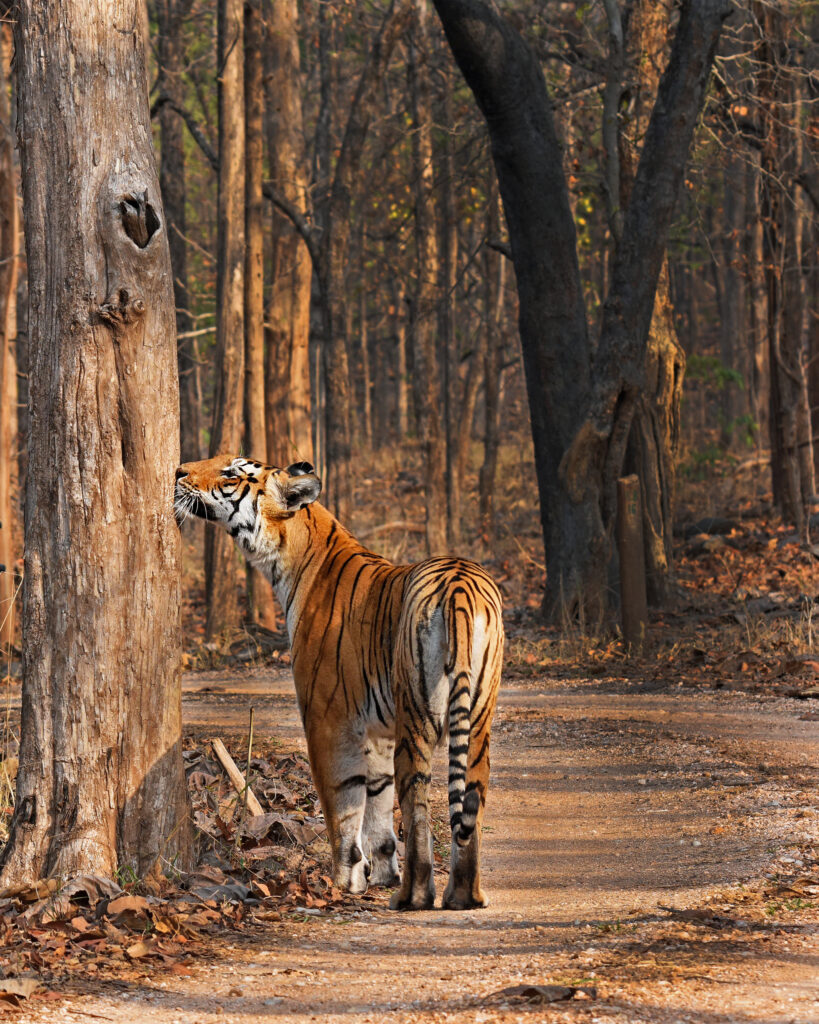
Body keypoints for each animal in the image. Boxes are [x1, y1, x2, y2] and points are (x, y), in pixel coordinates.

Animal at [176, 458, 501, 913]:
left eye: (230, 474)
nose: (177, 472)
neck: (292, 557)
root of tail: (459, 585)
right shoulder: (377, 731)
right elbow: (379, 807)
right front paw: (381, 873)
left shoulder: (328, 719)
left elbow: (344, 804)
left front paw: (345, 881)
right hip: (477, 721)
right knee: (470, 797)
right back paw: (463, 896)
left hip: (416, 718)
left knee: (417, 806)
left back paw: (411, 897)